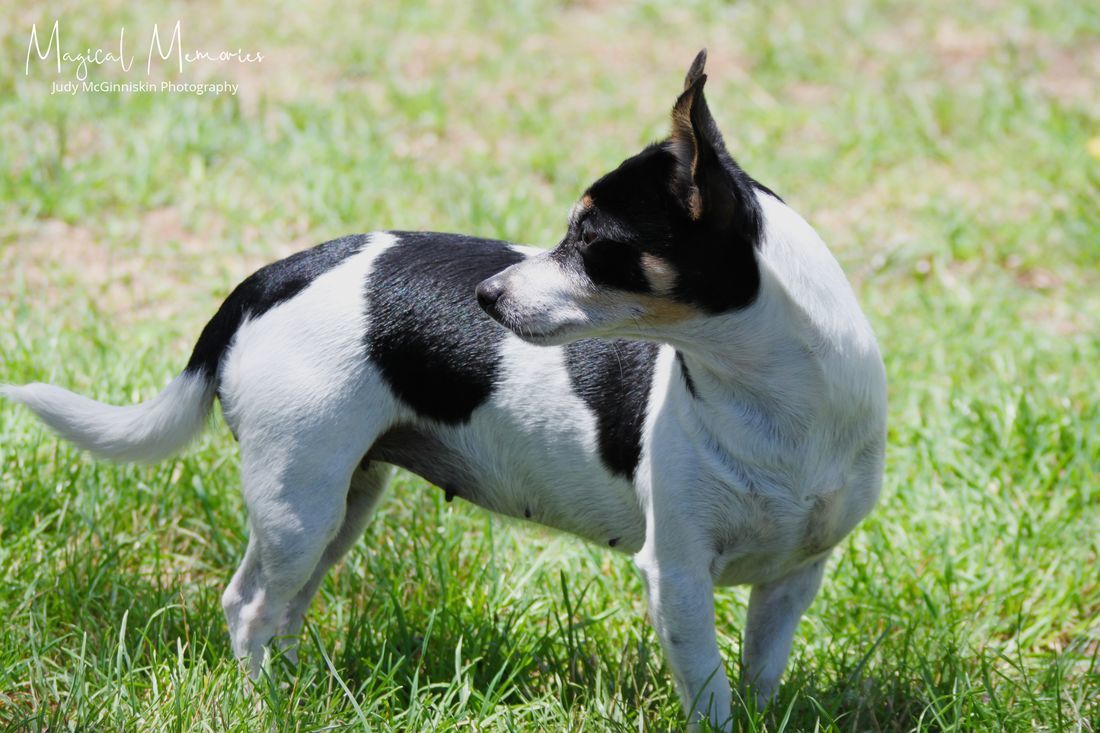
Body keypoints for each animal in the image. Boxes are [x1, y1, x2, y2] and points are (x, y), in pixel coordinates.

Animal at [2, 51, 884, 726]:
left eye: (591, 241)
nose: (486, 297)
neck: (767, 397)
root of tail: (273, 276)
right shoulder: (678, 575)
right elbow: (709, 692)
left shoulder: (794, 579)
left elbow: (758, 678)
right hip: (299, 498)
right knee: (248, 605)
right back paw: (264, 706)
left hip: (343, 503)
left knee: (280, 608)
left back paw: (294, 692)